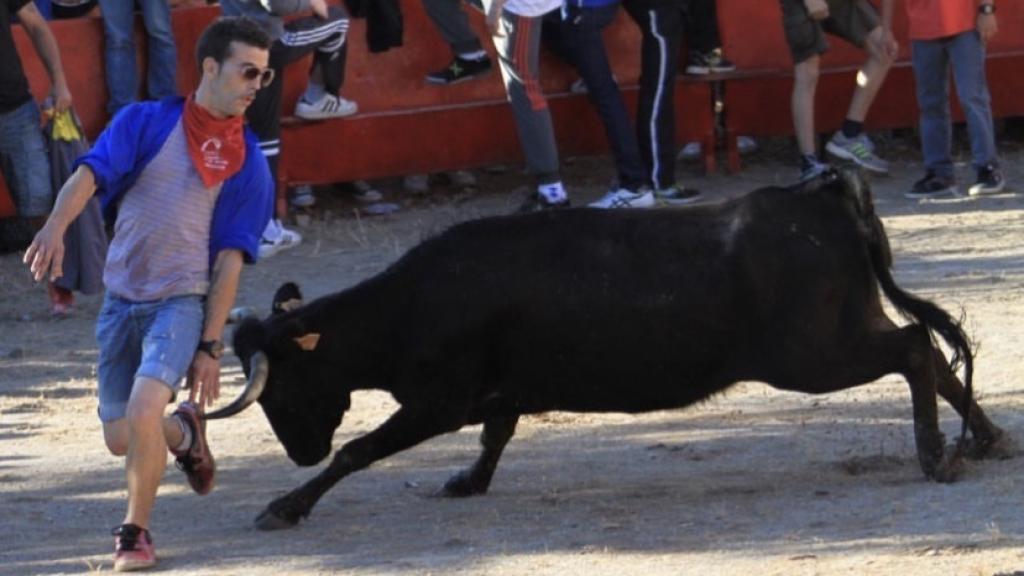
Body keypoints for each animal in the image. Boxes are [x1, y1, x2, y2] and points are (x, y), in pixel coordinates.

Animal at [203, 170, 1003, 528]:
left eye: (282, 386)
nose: (296, 452)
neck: (413, 304)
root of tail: (821, 193)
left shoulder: (439, 402)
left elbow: (360, 449)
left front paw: (285, 505)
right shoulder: (500, 393)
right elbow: (495, 437)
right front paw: (466, 481)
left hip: (814, 356)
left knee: (913, 349)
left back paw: (937, 456)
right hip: (838, 337)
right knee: (930, 353)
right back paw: (991, 441)